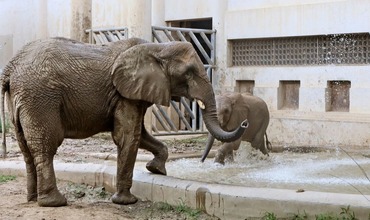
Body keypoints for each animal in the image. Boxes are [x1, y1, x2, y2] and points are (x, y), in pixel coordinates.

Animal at [0, 37, 249, 207]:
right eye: (188, 73)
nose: (245, 123)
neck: (157, 47)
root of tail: (10, 68)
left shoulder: (133, 93)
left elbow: (141, 135)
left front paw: (156, 170)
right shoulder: (124, 94)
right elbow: (129, 136)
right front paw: (127, 201)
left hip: (22, 99)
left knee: (26, 148)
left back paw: (32, 199)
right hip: (40, 97)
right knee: (45, 146)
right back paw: (55, 202)